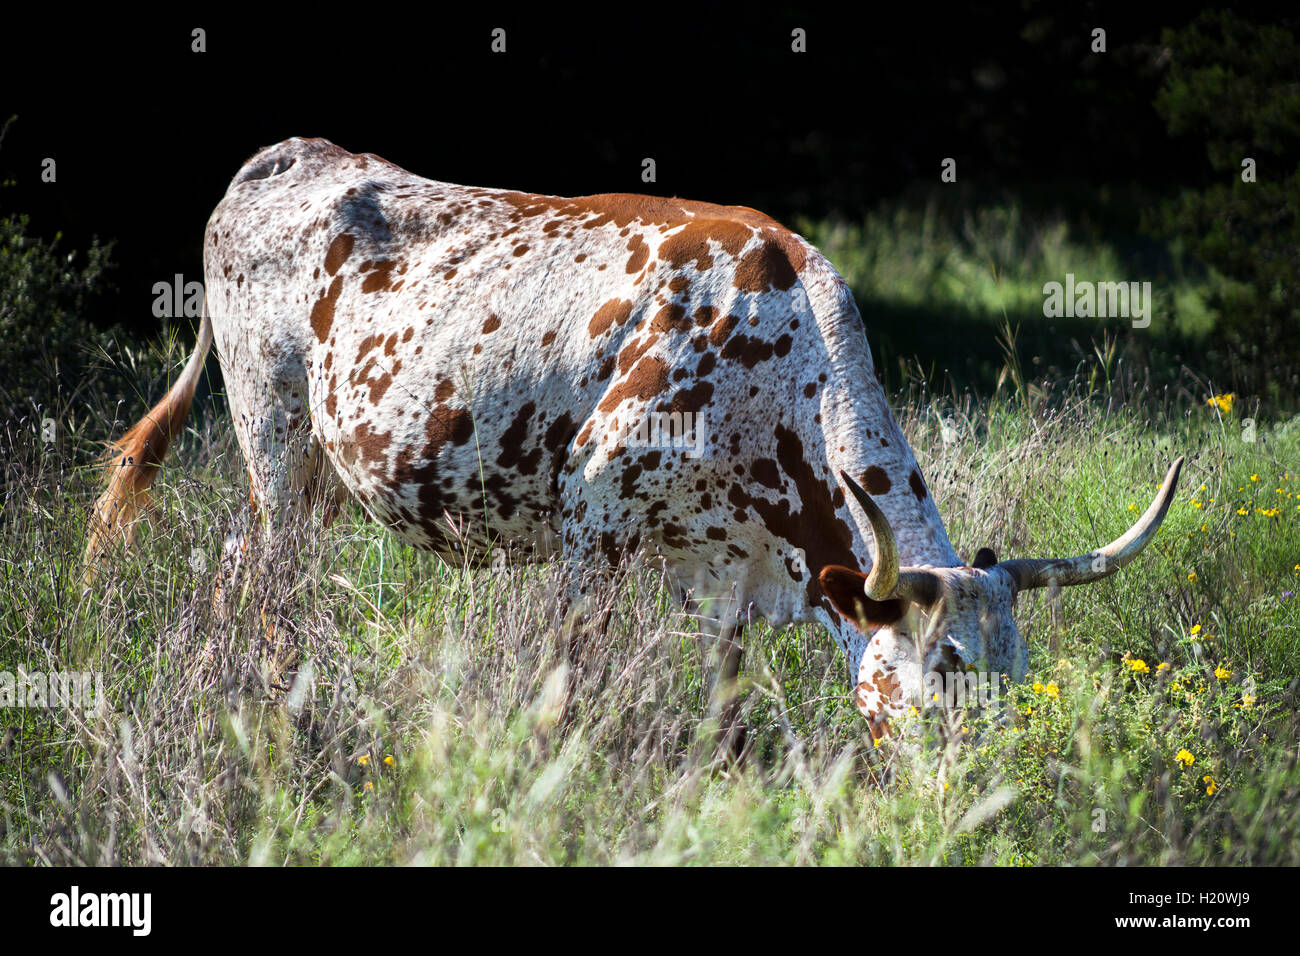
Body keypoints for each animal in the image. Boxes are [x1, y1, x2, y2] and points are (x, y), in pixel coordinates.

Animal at [85, 137, 1182, 740]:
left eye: (1015, 670)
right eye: (945, 661)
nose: (988, 775)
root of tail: (291, 153)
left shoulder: (730, 570)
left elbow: (726, 708)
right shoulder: (593, 518)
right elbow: (569, 682)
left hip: (307, 467)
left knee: (238, 561)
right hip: (270, 429)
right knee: (274, 579)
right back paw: (281, 709)